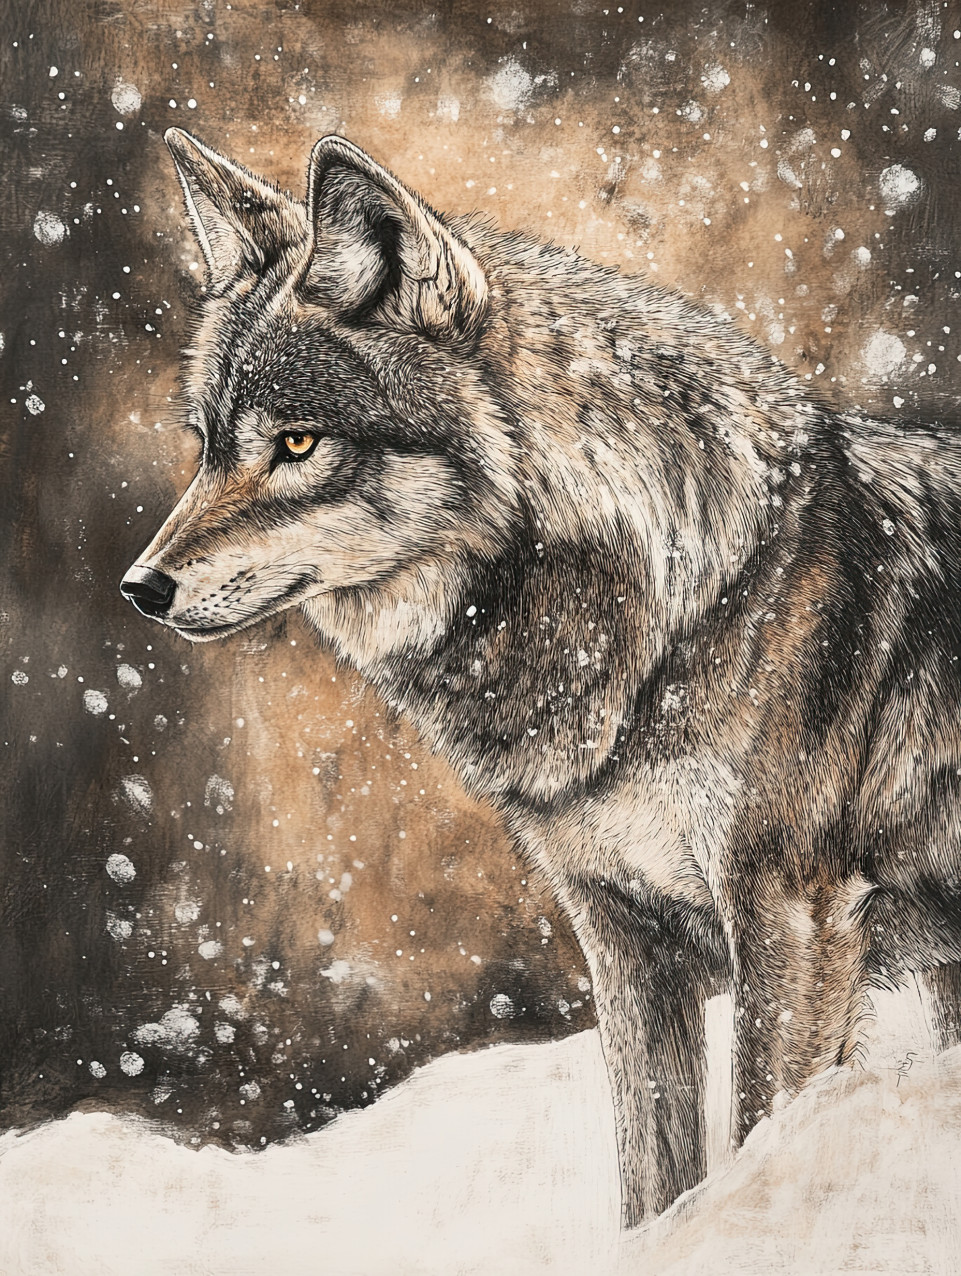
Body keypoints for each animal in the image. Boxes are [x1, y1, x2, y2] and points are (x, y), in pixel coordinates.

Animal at [121, 127, 961, 1227]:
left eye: (298, 443)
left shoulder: (791, 918)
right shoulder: (622, 936)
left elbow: (751, 1138)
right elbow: (653, 1172)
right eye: (209, 447)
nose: (140, 588)